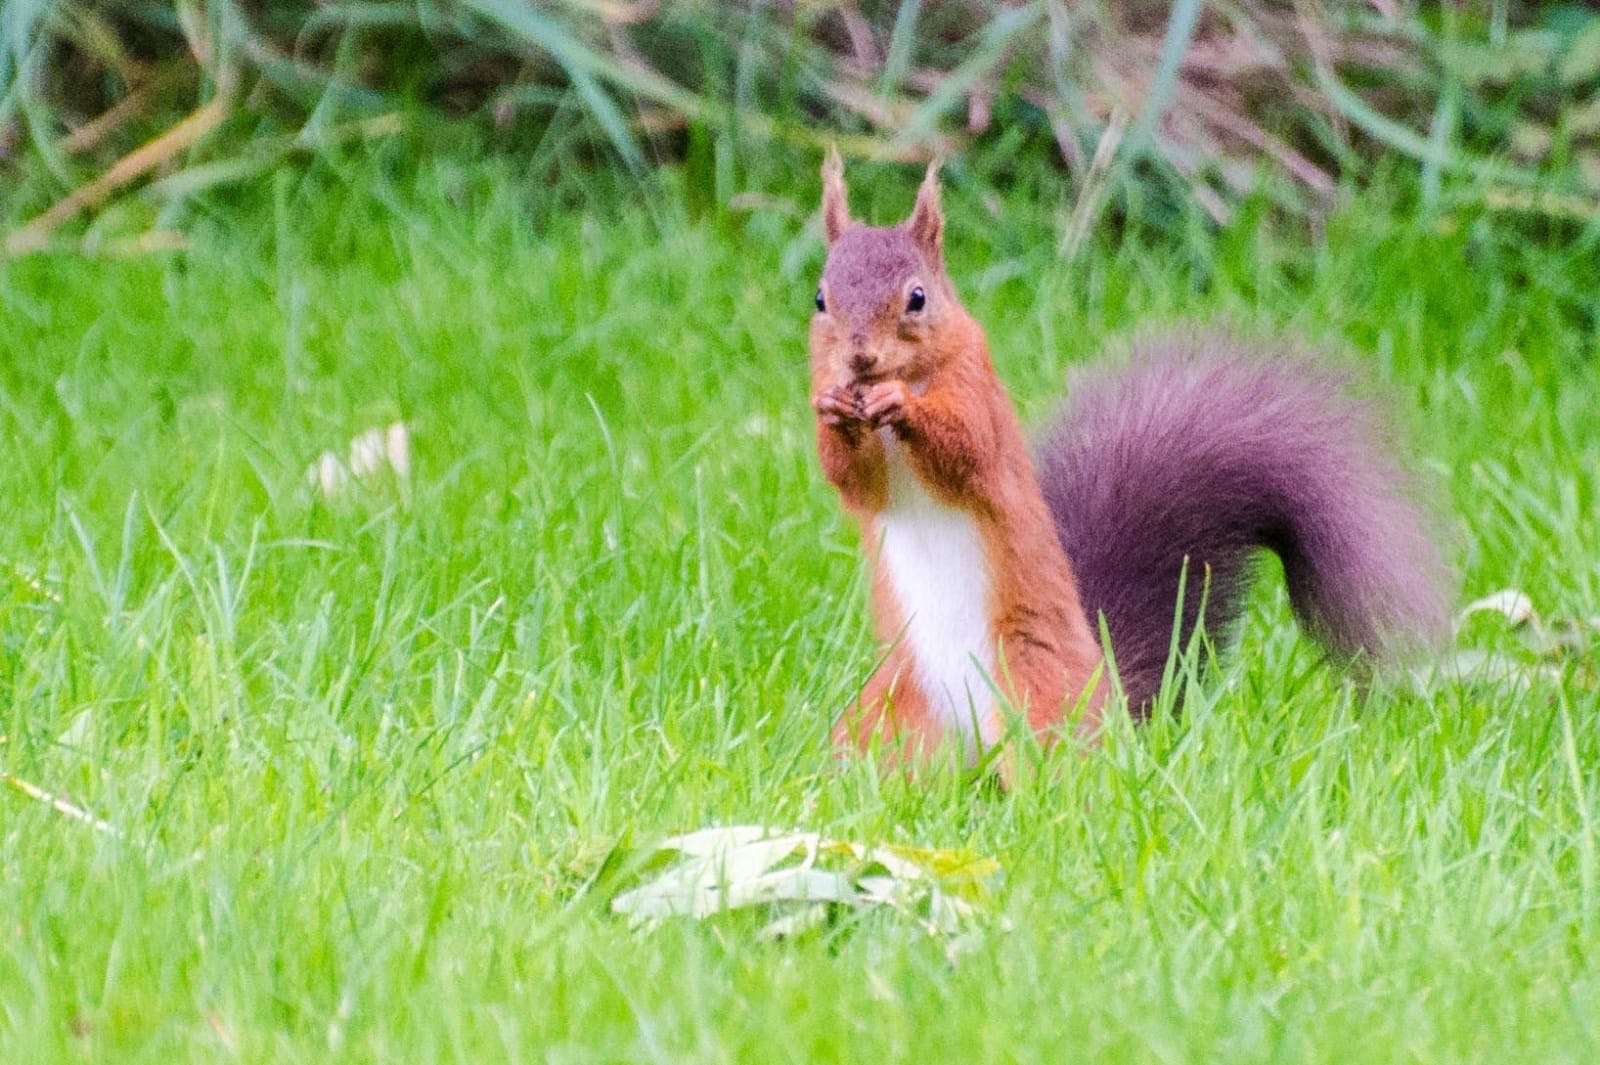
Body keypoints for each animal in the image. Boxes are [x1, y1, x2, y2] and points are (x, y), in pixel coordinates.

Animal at [809, 149, 1451, 769]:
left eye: (917, 298)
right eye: (820, 298)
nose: (861, 357)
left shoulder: (977, 392)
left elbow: (963, 449)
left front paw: (902, 404)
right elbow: (854, 481)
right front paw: (833, 412)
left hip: (1037, 697)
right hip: (890, 712)